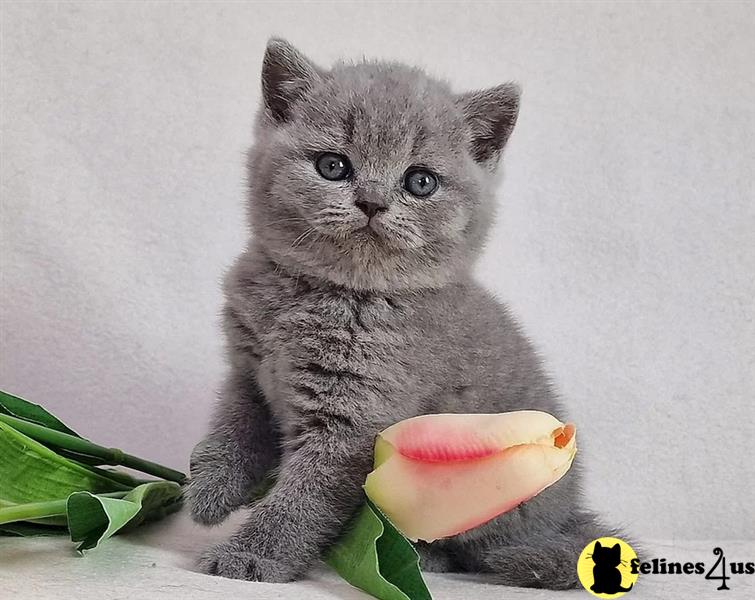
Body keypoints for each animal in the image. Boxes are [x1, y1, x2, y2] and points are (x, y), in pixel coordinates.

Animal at [186, 38, 616, 592]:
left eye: (420, 181)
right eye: (333, 166)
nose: (372, 200)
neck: (331, 292)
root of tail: (569, 518)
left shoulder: (353, 420)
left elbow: (303, 497)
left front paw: (250, 556)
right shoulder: (248, 369)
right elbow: (234, 423)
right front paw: (209, 487)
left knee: (475, 548)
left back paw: (428, 556)